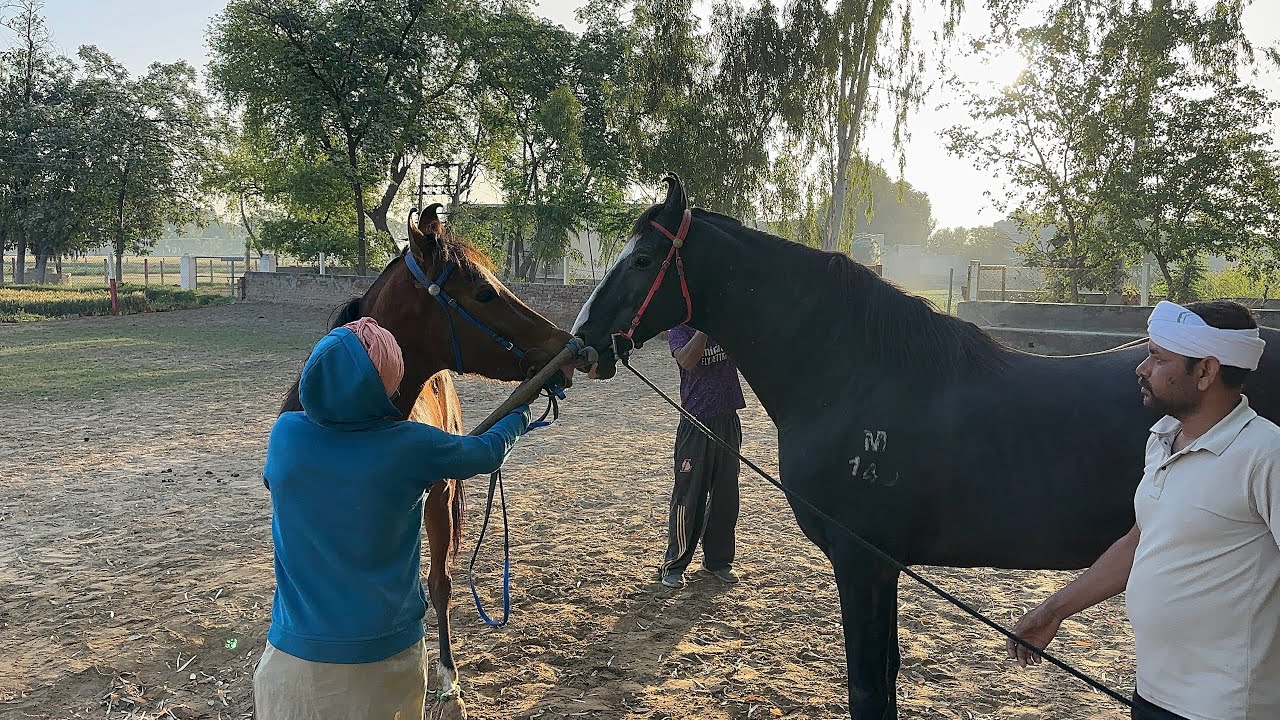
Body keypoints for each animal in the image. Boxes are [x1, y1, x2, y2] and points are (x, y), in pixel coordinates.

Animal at [570, 174, 1280, 718]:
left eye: (641, 261)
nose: (582, 344)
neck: (853, 376)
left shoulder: (861, 561)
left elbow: (867, 689)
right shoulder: (883, 566)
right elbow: (882, 683)